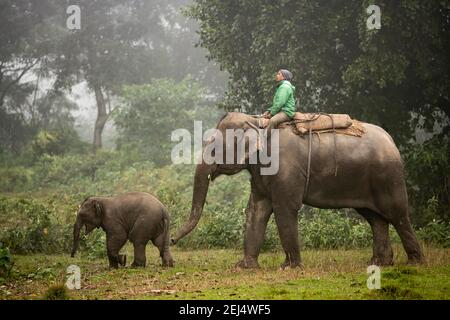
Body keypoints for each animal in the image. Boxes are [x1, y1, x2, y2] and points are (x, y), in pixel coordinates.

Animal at [171, 112, 424, 268]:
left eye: (214, 148)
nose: (172, 239)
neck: (257, 122)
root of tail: (392, 141)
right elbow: (256, 210)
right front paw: (244, 266)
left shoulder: (286, 169)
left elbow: (285, 209)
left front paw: (288, 267)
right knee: (375, 218)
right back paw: (379, 263)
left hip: (388, 177)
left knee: (397, 214)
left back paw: (415, 262)